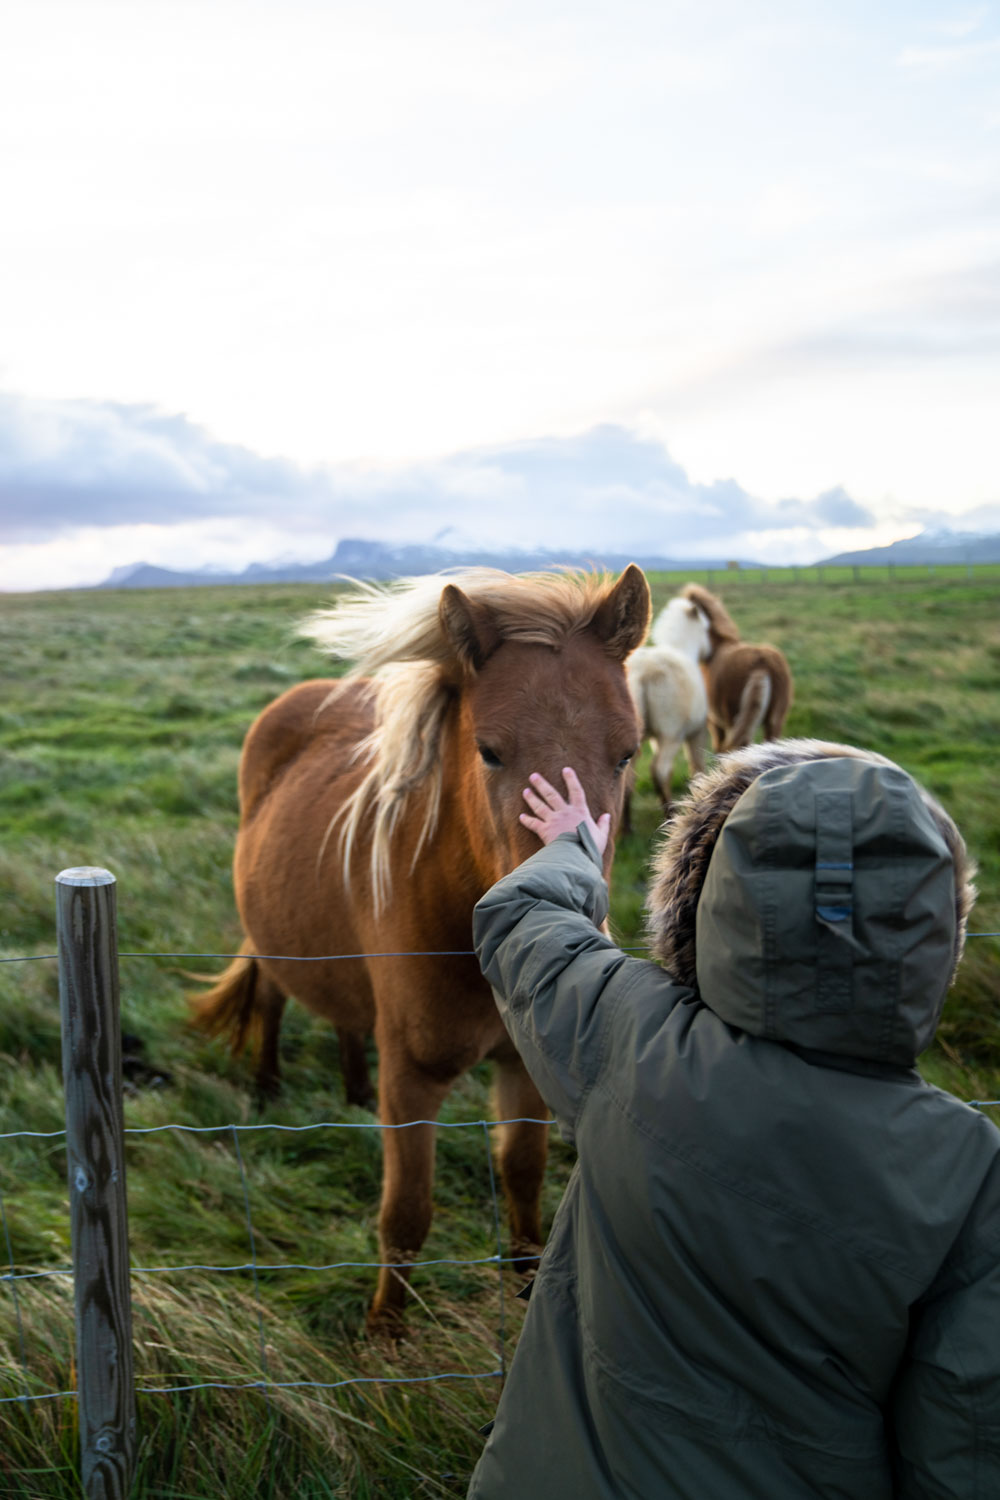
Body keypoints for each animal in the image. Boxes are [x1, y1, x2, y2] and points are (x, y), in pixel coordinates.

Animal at [193, 567, 653, 1332]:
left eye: (626, 752)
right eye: (489, 750)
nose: (579, 917)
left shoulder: (520, 1070)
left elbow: (523, 1177)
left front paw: (527, 1284)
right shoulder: (411, 1078)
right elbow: (405, 1214)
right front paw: (386, 1336)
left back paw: (350, 1090)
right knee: (272, 998)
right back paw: (266, 1085)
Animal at [626, 591, 710, 822]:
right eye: (706, 628)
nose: (709, 654)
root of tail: (641, 673)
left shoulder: (655, 738)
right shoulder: (695, 733)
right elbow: (697, 766)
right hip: (672, 734)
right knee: (660, 771)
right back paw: (669, 814)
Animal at [677, 582, 791, 750]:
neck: (716, 647)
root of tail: (762, 664)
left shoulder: (715, 723)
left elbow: (718, 748)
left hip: (733, 721)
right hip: (774, 722)